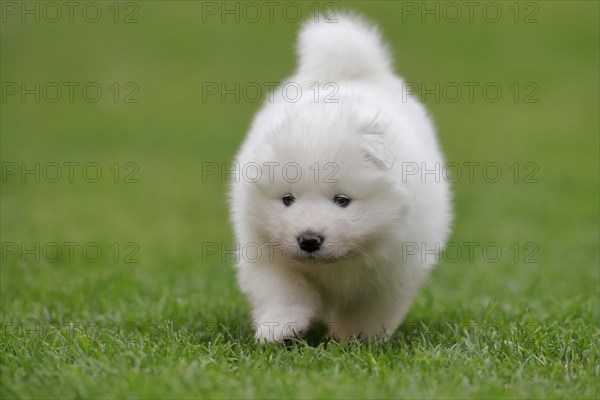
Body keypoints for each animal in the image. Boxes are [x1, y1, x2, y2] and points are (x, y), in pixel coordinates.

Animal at [229, 13, 450, 344]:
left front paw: (355, 339)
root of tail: (353, 72)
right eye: (287, 200)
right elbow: (283, 291)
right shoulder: (266, 250)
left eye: (342, 200)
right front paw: (279, 329)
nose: (308, 240)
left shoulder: (395, 267)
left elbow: (367, 308)